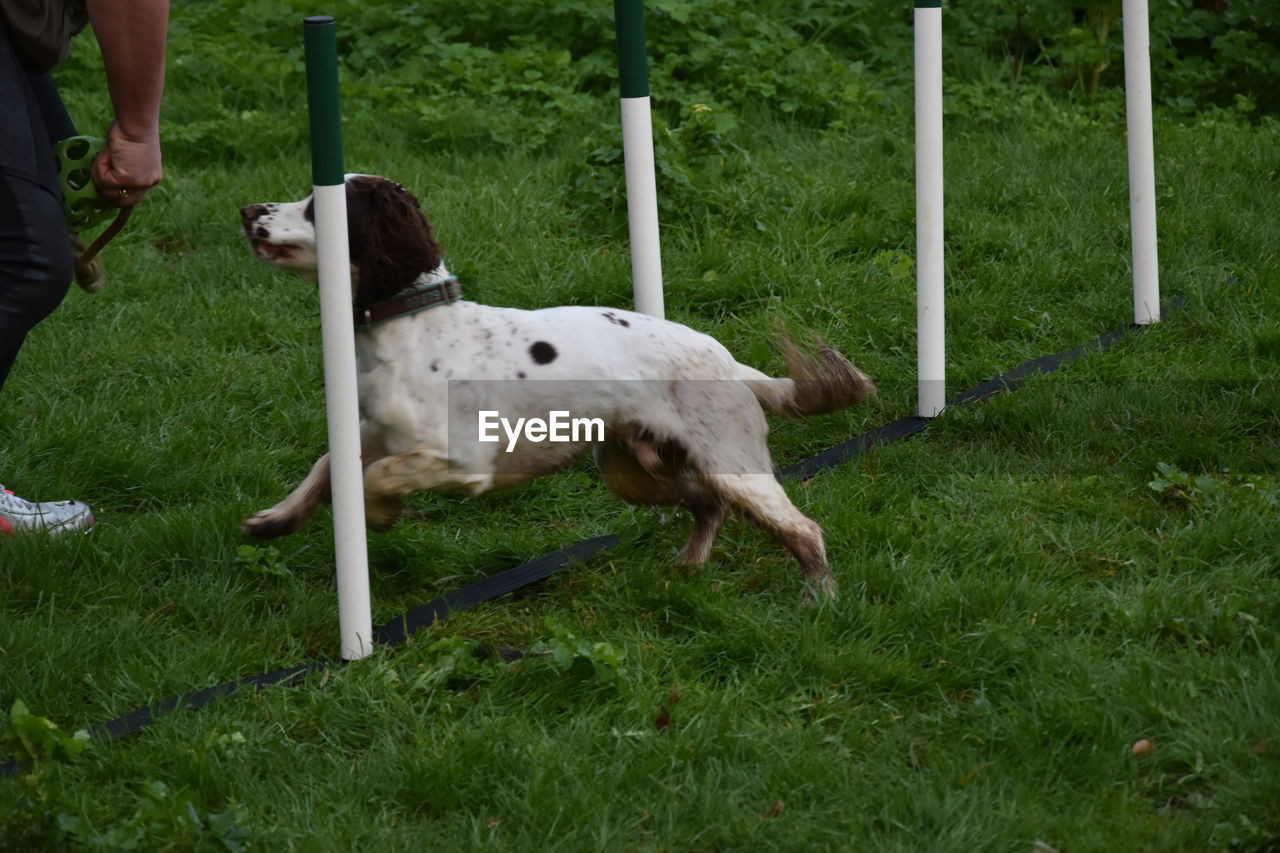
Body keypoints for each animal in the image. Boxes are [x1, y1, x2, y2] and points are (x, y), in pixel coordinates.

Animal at [240, 174, 875, 596]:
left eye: (317, 207)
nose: (247, 209)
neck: (411, 323)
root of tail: (732, 363)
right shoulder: (374, 431)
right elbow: (328, 464)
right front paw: (276, 519)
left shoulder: (461, 460)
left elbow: (374, 478)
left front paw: (378, 514)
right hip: (629, 472)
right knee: (707, 506)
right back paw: (686, 570)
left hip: (730, 464)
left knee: (801, 528)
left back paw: (820, 597)